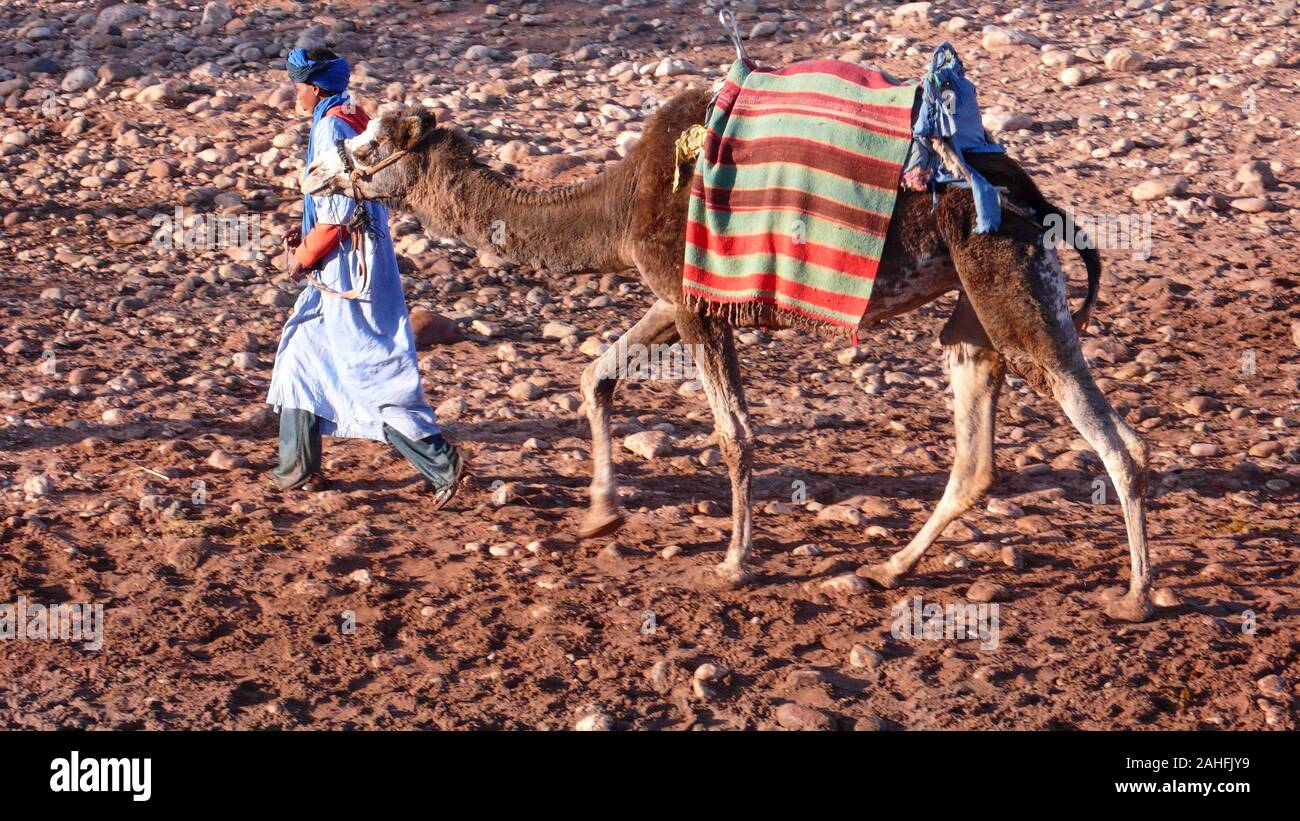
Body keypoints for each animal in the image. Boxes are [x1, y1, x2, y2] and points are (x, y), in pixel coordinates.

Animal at [304, 89, 1159, 618]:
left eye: (370, 142)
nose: (312, 170)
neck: (614, 202)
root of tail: (1037, 197)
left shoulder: (690, 300)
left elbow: (734, 436)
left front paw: (732, 563)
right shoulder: (676, 292)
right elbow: (595, 374)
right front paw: (601, 512)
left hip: (1007, 272)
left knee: (1116, 438)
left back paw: (1136, 595)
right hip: (975, 302)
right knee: (977, 433)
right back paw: (889, 567)